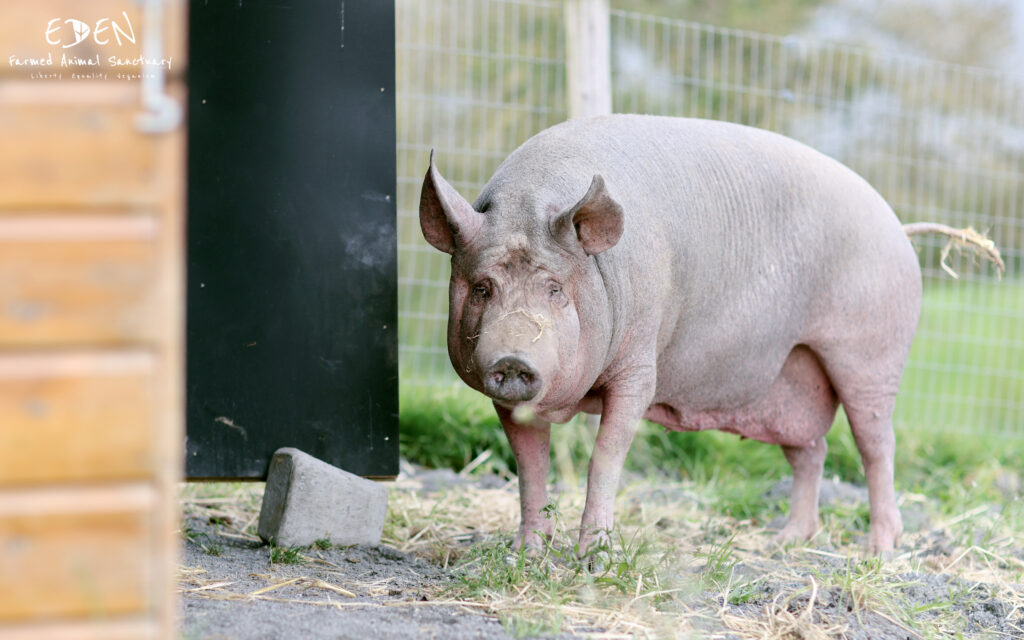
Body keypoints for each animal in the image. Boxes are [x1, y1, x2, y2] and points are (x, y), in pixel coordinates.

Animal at [418, 114, 945, 557]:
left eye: (555, 289)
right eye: (483, 287)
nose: (512, 359)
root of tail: (899, 228)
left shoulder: (639, 366)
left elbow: (604, 458)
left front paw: (594, 560)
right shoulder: (507, 399)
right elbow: (531, 467)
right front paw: (527, 555)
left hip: (872, 358)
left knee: (876, 447)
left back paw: (880, 551)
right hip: (791, 379)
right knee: (811, 450)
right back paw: (786, 541)